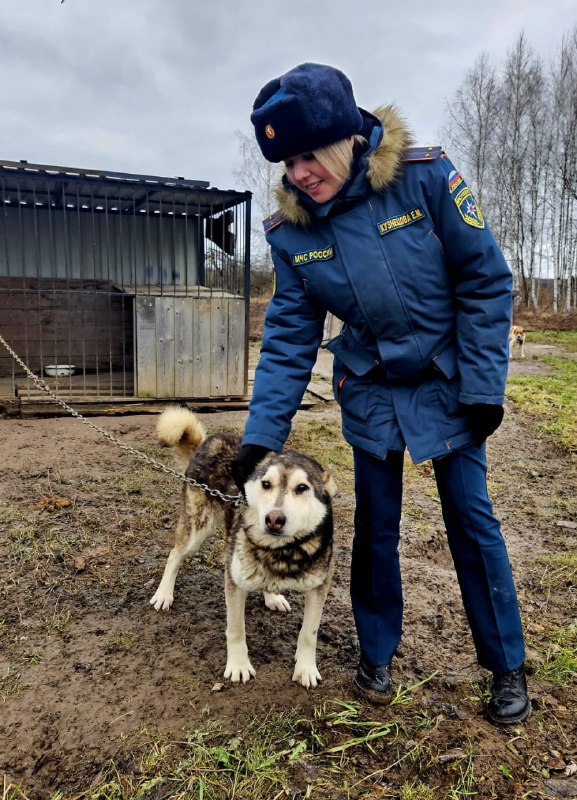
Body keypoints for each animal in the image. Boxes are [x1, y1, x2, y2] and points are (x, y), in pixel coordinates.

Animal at [150, 406, 338, 688]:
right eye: (266, 484)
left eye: (302, 488)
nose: (274, 519)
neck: (279, 551)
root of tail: (211, 439)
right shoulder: (234, 581)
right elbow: (236, 629)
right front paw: (238, 665)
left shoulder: (319, 587)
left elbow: (309, 633)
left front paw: (305, 668)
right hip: (197, 530)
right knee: (174, 555)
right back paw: (164, 594)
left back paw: (273, 596)